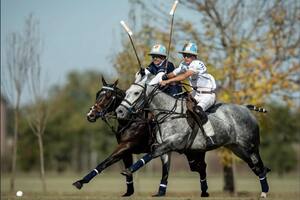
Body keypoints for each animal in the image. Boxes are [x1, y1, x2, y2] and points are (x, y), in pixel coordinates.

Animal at [72, 77, 211, 197]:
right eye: (97, 94)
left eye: (107, 96)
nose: (90, 115)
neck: (131, 119)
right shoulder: (126, 150)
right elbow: (119, 167)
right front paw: (128, 192)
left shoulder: (127, 145)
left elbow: (105, 162)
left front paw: (81, 182)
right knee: (200, 167)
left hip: (193, 152)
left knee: (202, 167)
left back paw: (204, 192)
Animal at [116, 76, 270, 198]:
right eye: (127, 92)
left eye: (136, 92)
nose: (120, 111)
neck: (169, 114)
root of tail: (245, 108)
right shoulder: (165, 149)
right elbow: (165, 169)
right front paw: (160, 193)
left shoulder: (172, 142)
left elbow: (152, 154)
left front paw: (128, 170)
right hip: (237, 148)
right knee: (255, 166)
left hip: (250, 147)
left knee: (259, 166)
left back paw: (264, 192)